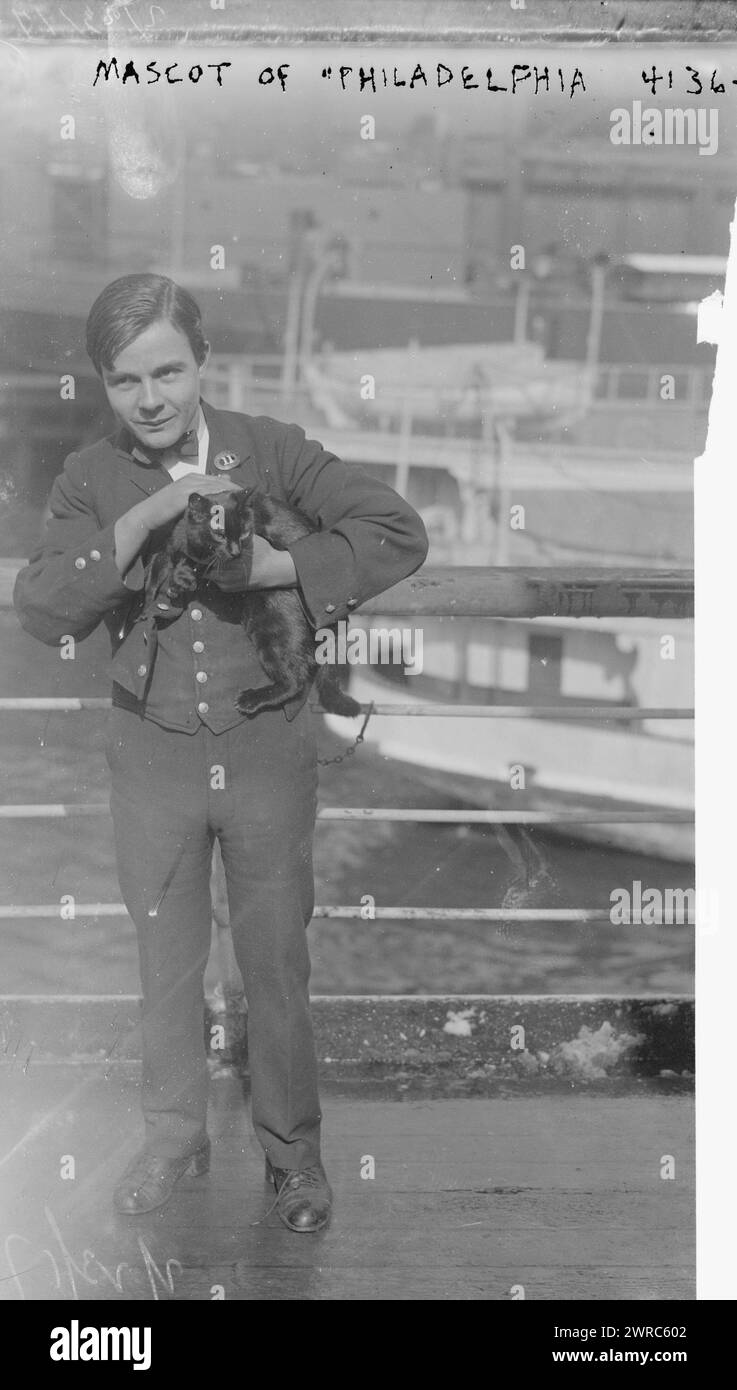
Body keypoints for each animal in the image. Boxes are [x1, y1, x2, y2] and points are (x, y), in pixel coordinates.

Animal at [139, 489, 358, 722]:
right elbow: (153, 575)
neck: (194, 546)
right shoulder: (168, 548)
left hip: (271, 628)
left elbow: (199, 564)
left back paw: (250, 700)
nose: (236, 552)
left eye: (244, 534)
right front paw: (148, 606)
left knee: (295, 680)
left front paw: (181, 578)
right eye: (220, 534)